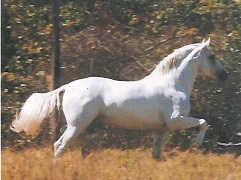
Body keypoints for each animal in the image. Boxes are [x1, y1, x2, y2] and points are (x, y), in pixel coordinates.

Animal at [11, 38, 227, 159]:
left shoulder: (162, 129)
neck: (173, 83)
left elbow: (156, 153)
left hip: (84, 126)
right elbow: (203, 122)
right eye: (212, 56)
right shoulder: (176, 121)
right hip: (76, 125)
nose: (224, 75)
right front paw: (195, 144)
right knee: (60, 146)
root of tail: (68, 86)